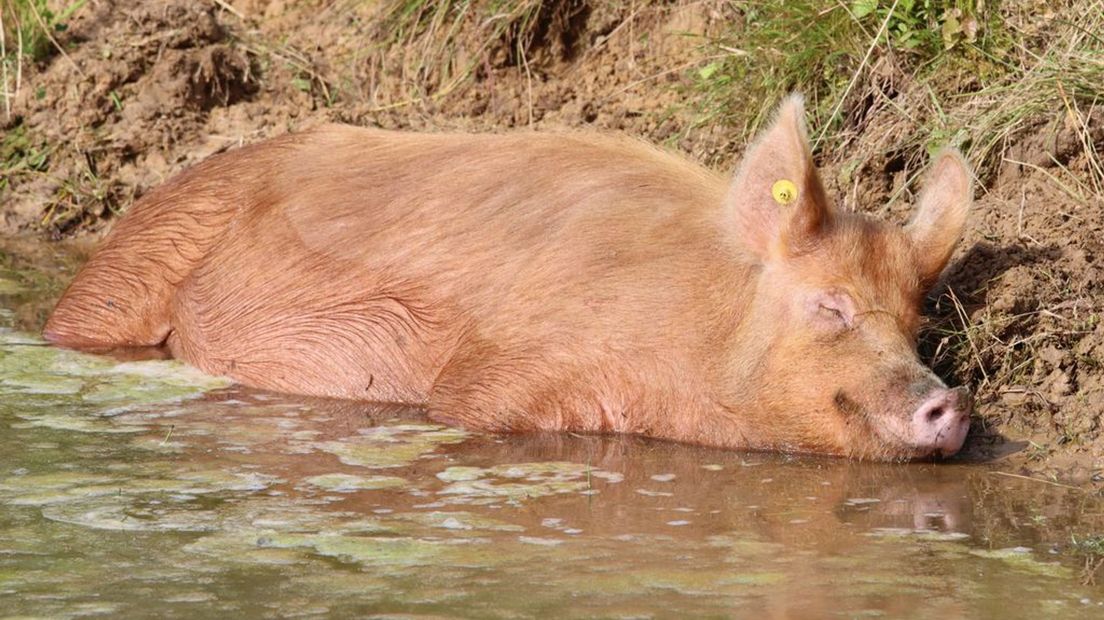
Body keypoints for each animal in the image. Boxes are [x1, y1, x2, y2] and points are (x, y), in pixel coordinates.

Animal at [43, 96, 975, 458]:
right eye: (831, 306)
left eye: (917, 323)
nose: (951, 400)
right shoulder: (498, 374)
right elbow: (464, 405)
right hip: (125, 277)